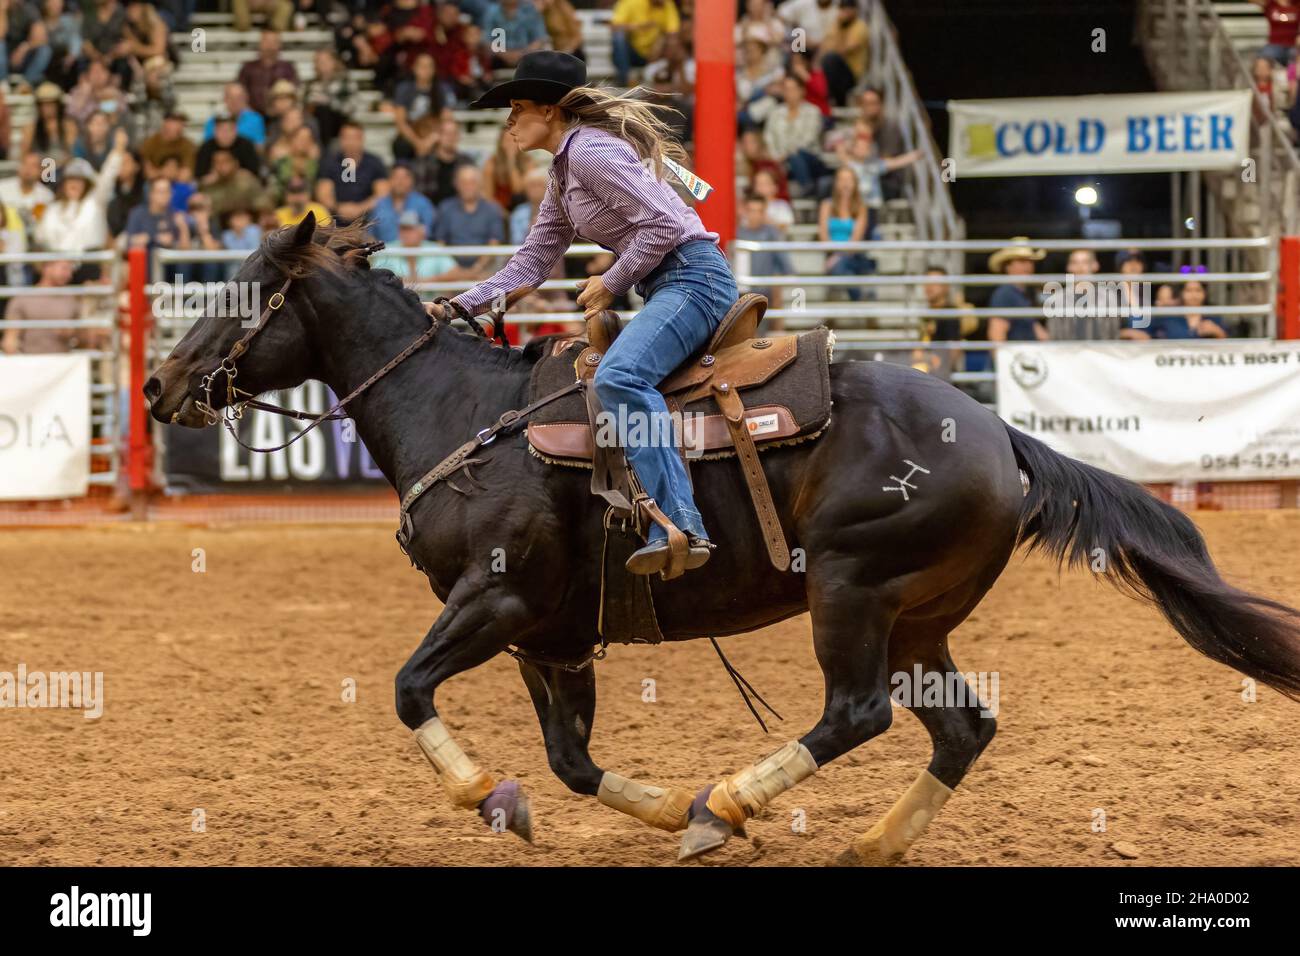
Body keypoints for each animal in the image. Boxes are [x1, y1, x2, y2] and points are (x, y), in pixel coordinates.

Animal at [142, 221, 1300, 863]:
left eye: (241, 291)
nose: (156, 385)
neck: (464, 414)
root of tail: (998, 431)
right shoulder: (547, 637)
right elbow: (570, 761)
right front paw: (639, 807)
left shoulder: (496, 603)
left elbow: (407, 688)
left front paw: (493, 796)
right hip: (918, 617)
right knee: (961, 728)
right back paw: (864, 843)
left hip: (853, 590)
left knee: (857, 713)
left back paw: (732, 800)